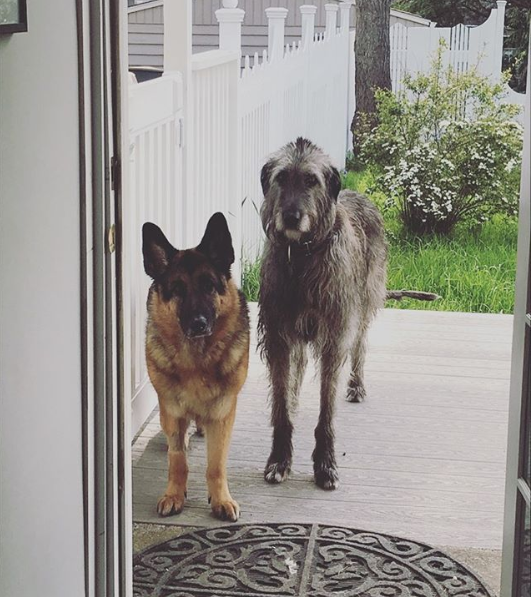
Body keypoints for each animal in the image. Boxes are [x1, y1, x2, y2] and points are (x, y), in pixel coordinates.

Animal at [258, 139, 386, 488]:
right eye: (281, 177)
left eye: (311, 180)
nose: (290, 217)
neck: (301, 256)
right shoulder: (278, 333)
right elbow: (279, 404)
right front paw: (279, 459)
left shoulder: (334, 334)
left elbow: (326, 409)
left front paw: (325, 463)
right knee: (298, 364)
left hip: (364, 299)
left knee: (361, 343)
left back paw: (356, 384)